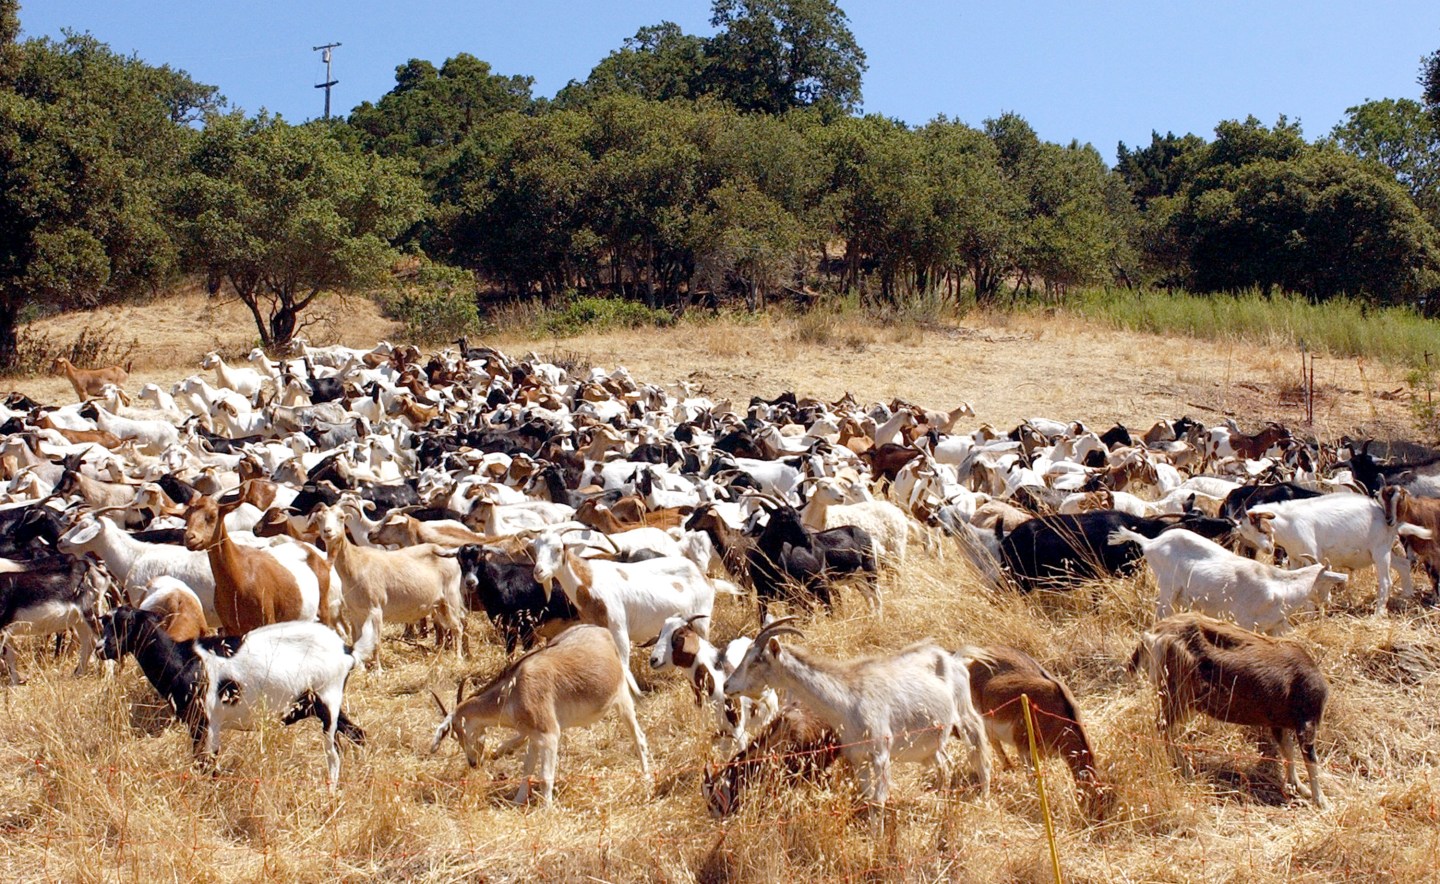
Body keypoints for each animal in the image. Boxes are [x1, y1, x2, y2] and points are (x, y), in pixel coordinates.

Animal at [428, 623, 650, 805]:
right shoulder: (534, 736)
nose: (473, 763)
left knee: (639, 738)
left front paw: (547, 809)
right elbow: (527, 770)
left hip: (623, 700)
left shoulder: (549, 735)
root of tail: (605, 633)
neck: (513, 691)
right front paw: (517, 801)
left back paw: (647, 780)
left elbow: (545, 776)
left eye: (457, 732)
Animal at [724, 617, 990, 809]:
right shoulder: (858, 758)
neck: (847, 701)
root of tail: (954, 658)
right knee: (945, 766)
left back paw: (984, 797)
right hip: (931, 743)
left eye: (756, 660)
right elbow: (865, 797)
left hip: (965, 716)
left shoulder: (881, 755)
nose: (727, 685)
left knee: (979, 748)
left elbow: (878, 802)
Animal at [1129, 613, 1329, 807]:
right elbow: (1310, 758)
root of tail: (1152, 635)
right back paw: (1185, 767)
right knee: (1162, 727)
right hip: (1179, 692)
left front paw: (1297, 786)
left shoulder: (1278, 722)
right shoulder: (1307, 719)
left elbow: (1288, 749)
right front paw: (1321, 801)